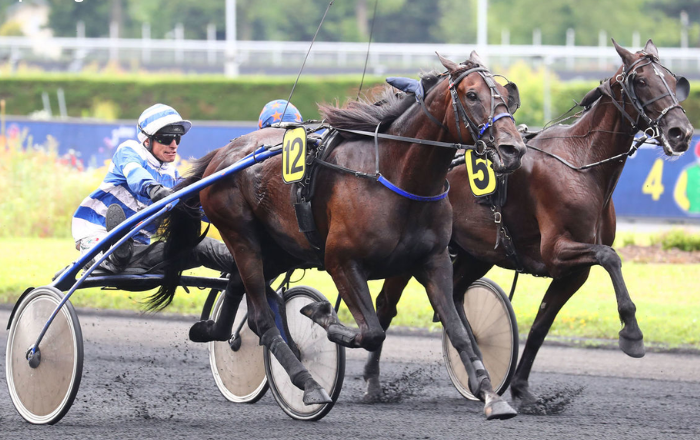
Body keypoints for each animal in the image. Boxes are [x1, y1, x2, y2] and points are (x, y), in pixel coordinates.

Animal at [150, 51, 528, 420]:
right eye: (472, 95)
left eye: (506, 94)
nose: (513, 149)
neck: (395, 176)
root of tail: (222, 154)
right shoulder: (341, 261)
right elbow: (372, 331)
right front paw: (322, 315)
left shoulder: (433, 261)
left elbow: (458, 330)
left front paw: (491, 394)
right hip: (240, 235)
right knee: (261, 317)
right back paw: (308, 384)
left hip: (280, 248)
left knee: (237, 286)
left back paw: (212, 331)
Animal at [364, 38, 692, 412]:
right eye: (641, 80)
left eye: (672, 80)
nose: (681, 132)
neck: (581, 164)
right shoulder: (557, 251)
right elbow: (611, 258)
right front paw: (632, 334)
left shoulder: (573, 272)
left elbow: (540, 326)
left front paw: (521, 389)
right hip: (413, 253)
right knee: (386, 305)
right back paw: (373, 382)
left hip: (475, 253)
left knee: (455, 297)